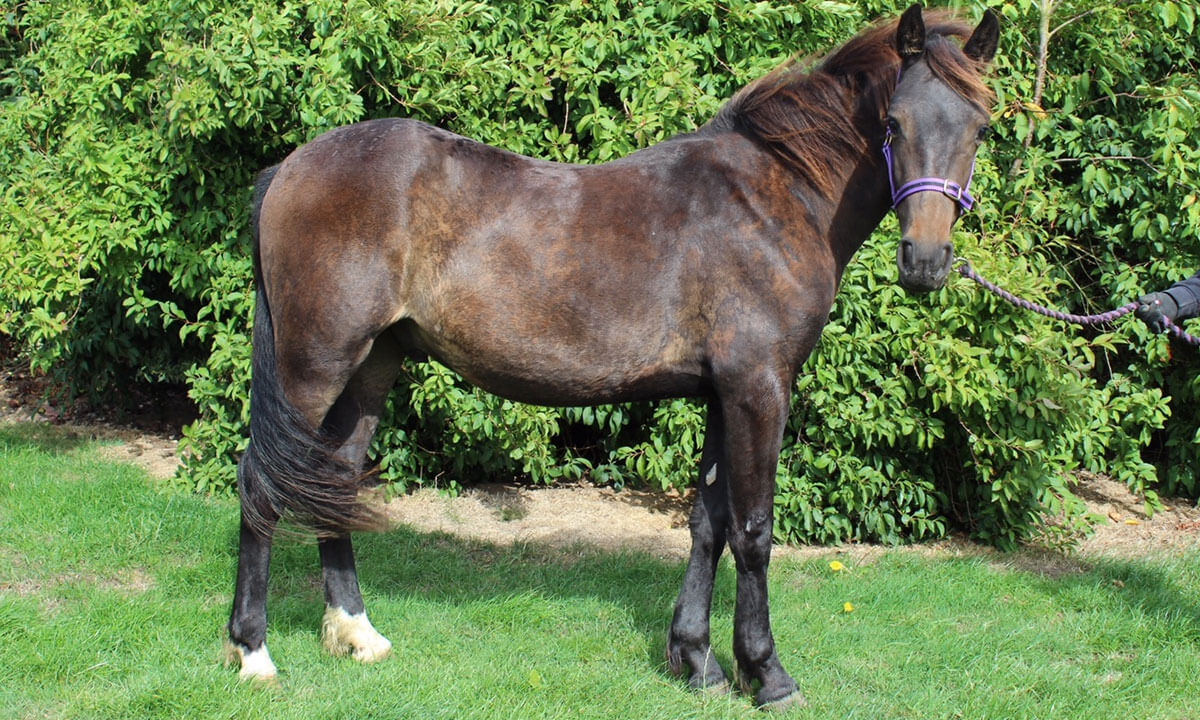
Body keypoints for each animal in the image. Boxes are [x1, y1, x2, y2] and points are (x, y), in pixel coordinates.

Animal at [224, 5, 999, 709]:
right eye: (893, 125)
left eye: (980, 128)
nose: (926, 261)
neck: (775, 198)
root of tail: (288, 168)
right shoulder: (759, 387)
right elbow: (752, 531)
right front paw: (768, 675)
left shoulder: (721, 393)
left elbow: (707, 524)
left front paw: (697, 662)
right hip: (314, 365)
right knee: (261, 482)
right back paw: (254, 653)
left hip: (372, 366)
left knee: (335, 478)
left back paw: (356, 633)